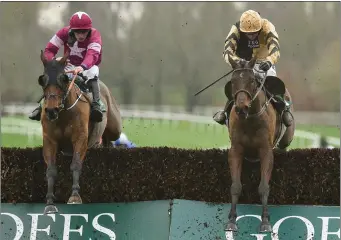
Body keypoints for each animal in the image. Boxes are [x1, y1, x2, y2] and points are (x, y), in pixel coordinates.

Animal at [37, 50, 122, 214]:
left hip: (115, 128)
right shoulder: (49, 140)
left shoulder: (80, 138)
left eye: (63, 79)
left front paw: (75, 196)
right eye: (42, 80)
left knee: (110, 137)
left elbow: (76, 164)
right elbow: (51, 170)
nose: (51, 110)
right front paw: (49, 202)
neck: (63, 113)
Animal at [223, 55, 294, 232]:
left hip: (286, 138)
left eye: (252, 81)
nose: (241, 108)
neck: (250, 119)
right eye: (233, 81)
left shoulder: (266, 151)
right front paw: (232, 221)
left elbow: (263, 187)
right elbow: (235, 186)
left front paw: (265, 221)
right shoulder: (236, 150)